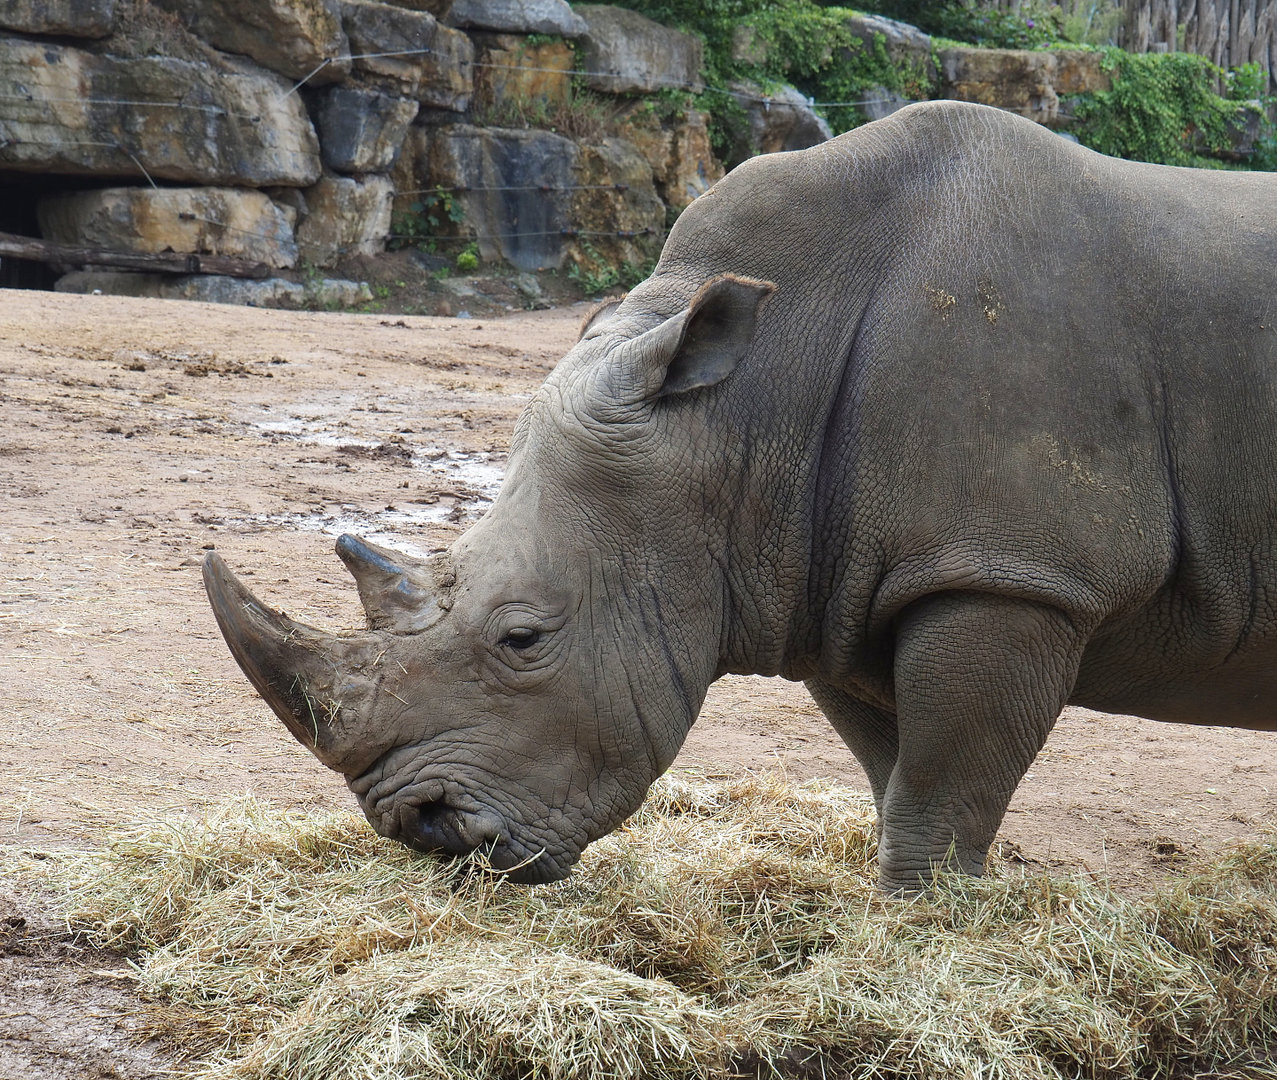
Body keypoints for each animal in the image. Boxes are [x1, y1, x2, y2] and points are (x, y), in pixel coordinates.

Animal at [204, 101, 1277, 891]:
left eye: (522, 638)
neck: (738, 416)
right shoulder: (838, 580)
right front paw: (906, 916)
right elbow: (892, 774)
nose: (421, 831)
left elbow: (943, 787)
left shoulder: (1011, 571)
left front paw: (928, 933)